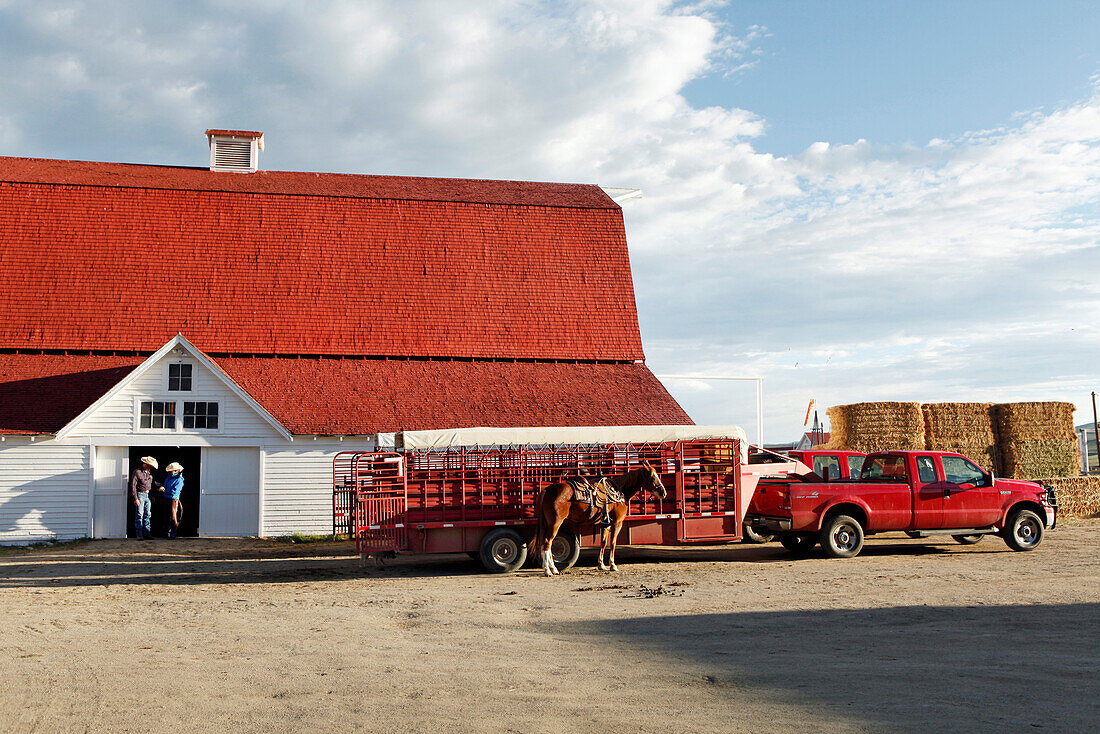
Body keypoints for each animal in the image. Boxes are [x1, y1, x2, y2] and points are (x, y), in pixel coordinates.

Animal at [530, 462, 664, 576]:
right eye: (653, 477)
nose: (663, 492)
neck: (619, 492)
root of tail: (547, 490)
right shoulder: (617, 522)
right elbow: (613, 543)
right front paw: (613, 565)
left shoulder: (606, 524)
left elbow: (603, 543)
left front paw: (601, 565)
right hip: (555, 523)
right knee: (547, 542)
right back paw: (548, 571)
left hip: (547, 524)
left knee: (545, 543)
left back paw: (553, 568)